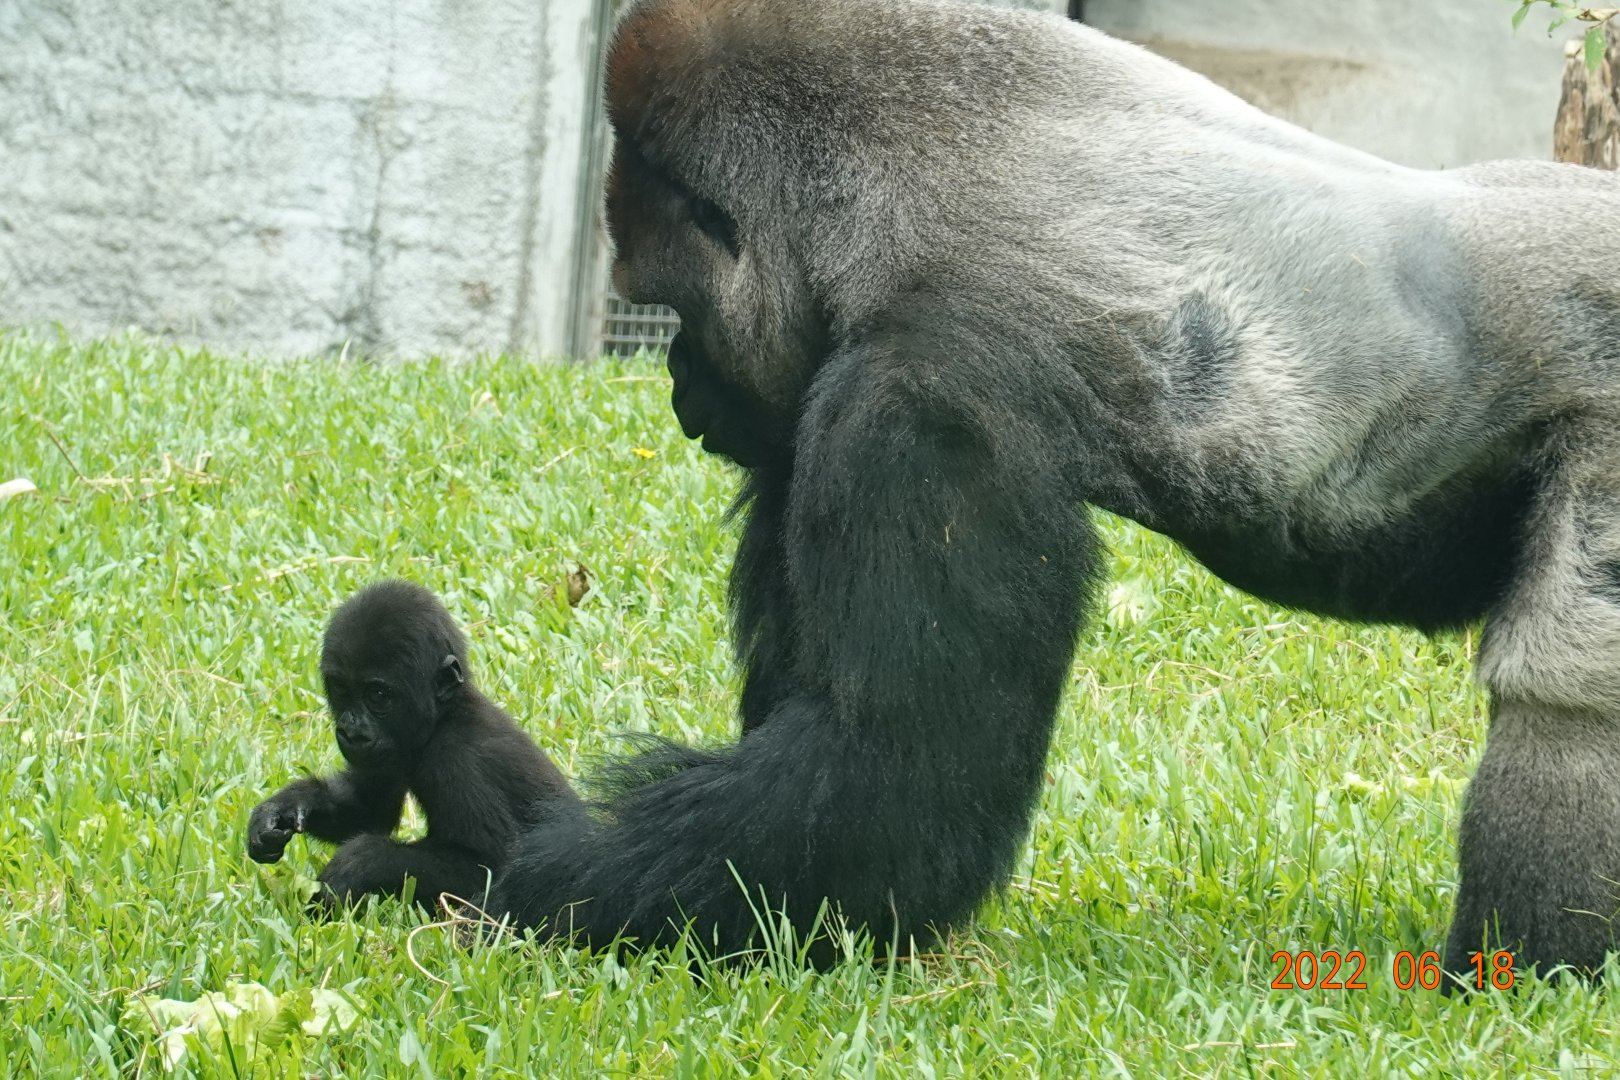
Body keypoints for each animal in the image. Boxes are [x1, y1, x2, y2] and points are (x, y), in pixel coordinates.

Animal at [248, 580, 578, 913]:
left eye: (378, 695)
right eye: (341, 690)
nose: (350, 730)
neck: (443, 720)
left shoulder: (459, 762)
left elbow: (490, 867)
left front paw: (362, 862)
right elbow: (368, 811)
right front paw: (284, 807)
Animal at [482, 0, 1620, 979]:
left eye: (668, 304)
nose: (681, 390)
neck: (881, 189)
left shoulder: (921, 400)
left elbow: (882, 773)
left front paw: (533, 876)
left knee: (1565, 696)